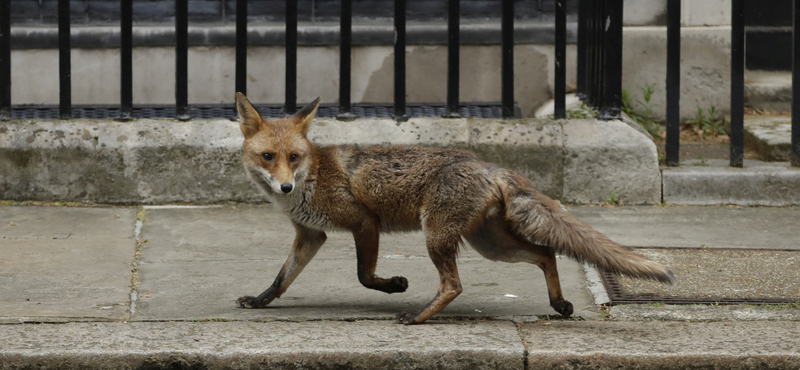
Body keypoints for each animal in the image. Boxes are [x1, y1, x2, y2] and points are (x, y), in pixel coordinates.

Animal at [233, 92, 676, 324]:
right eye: (268, 156)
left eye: (293, 156)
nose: (285, 184)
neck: (312, 178)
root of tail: (485, 163)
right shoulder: (311, 234)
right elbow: (282, 279)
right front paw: (259, 301)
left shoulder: (364, 222)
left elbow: (364, 275)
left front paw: (394, 285)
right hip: (490, 244)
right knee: (545, 253)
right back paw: (559, 304)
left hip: (438, 236)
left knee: (454, 285)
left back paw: (417, 316)